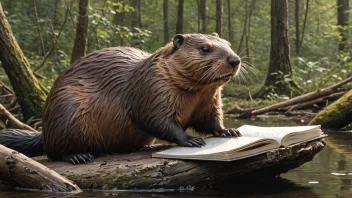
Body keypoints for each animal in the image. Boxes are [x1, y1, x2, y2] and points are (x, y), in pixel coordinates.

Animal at [0, 33, 241, 164]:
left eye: (229, 44)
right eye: (204, 48)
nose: (234, 60)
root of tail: (44, 134)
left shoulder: (209, 99)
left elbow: (209, 120)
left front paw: (229, 131)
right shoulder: (152, 88)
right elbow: (155, 119)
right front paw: (191, 140)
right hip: (65, 113)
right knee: (54, 152)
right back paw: (79, 156)